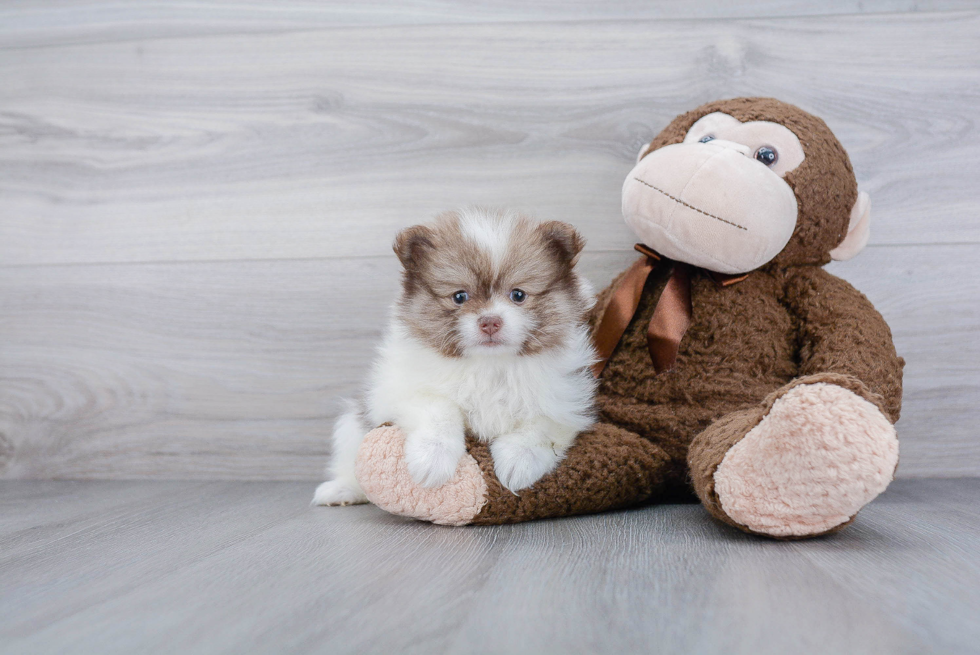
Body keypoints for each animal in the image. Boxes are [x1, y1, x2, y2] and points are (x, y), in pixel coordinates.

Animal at [314, 206, 596, 508]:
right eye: (460, 296)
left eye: (518, 295)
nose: (490, 322)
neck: (489, 365)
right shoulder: (399, 390)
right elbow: (439, 408)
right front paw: (433, 458)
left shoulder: (565, 399)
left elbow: (540, 425)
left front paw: (519, 460)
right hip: (350, 426)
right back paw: (341, 490)